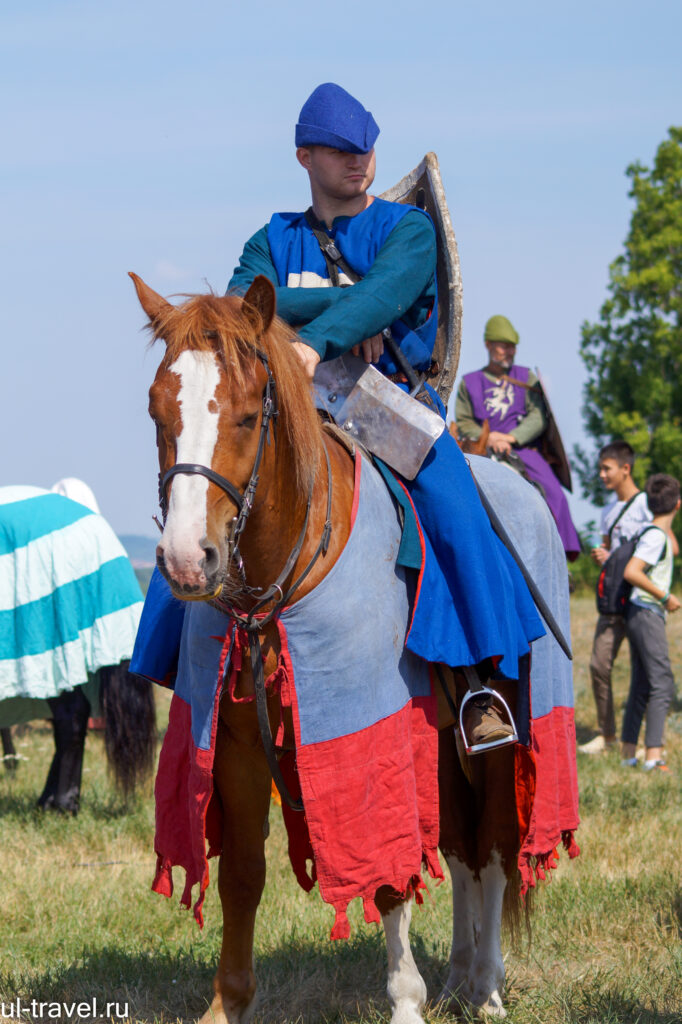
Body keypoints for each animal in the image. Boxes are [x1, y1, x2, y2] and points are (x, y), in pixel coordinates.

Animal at [129, 274, 573, 1024]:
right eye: (159, 411)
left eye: (247, 416)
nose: (189, 561)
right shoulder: (234, 745)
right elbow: (242, 875)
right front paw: (228, 1003)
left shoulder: (373, 737)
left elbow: (388, 875)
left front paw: (405, 1002)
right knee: (462, 850)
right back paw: (458, 976)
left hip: (506, 727)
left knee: (491, 849)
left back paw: (485, 985)